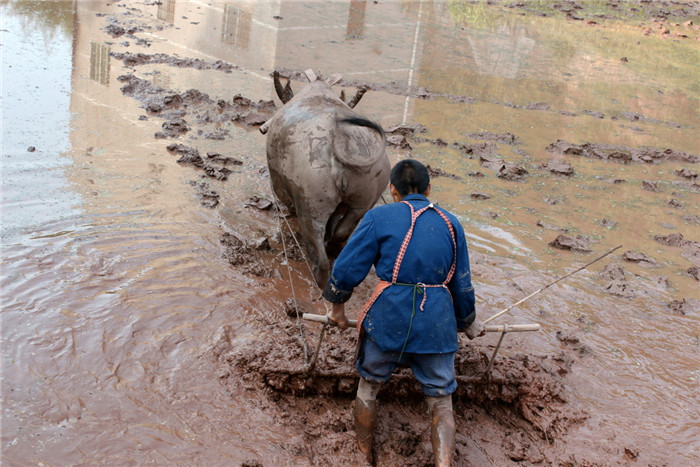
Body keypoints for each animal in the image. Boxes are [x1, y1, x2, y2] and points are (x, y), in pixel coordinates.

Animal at [264, 70, 394, 288]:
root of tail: (341, 138)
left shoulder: (279, 183)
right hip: (367, 191)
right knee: (346, 227)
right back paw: (335, 249)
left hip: (311, 200)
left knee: (316, 242)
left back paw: (320, 277)